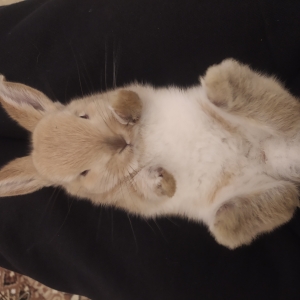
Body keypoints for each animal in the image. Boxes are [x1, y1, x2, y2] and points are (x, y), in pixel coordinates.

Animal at [0, 58, 300, 248]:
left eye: (82, 115)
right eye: (82, 174)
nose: (120, 143)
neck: (140, 145)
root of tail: (270, 157)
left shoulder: (140, 94)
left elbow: (131, 97)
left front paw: (121, 109)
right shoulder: (131, 195)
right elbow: (150, 188)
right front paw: (165, 180)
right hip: (227, 213)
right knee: (281, 200)